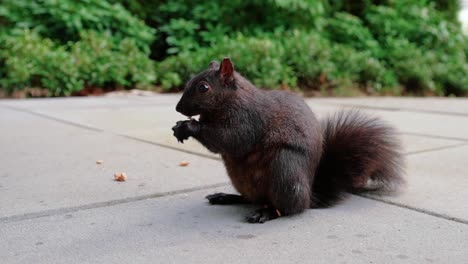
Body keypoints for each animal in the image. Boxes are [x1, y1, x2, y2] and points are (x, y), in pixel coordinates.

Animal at [174, 57, 404, 223]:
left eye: (203, 87)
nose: (178, 108)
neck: (229, 101)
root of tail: (308, 195)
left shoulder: (248, 120)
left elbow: (231, 140)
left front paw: (189, 126)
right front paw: (180, 127)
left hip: (284, 169)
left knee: (288, 208)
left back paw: (265, 213)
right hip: (241, 179)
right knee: (251, 198)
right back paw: (227, 197)